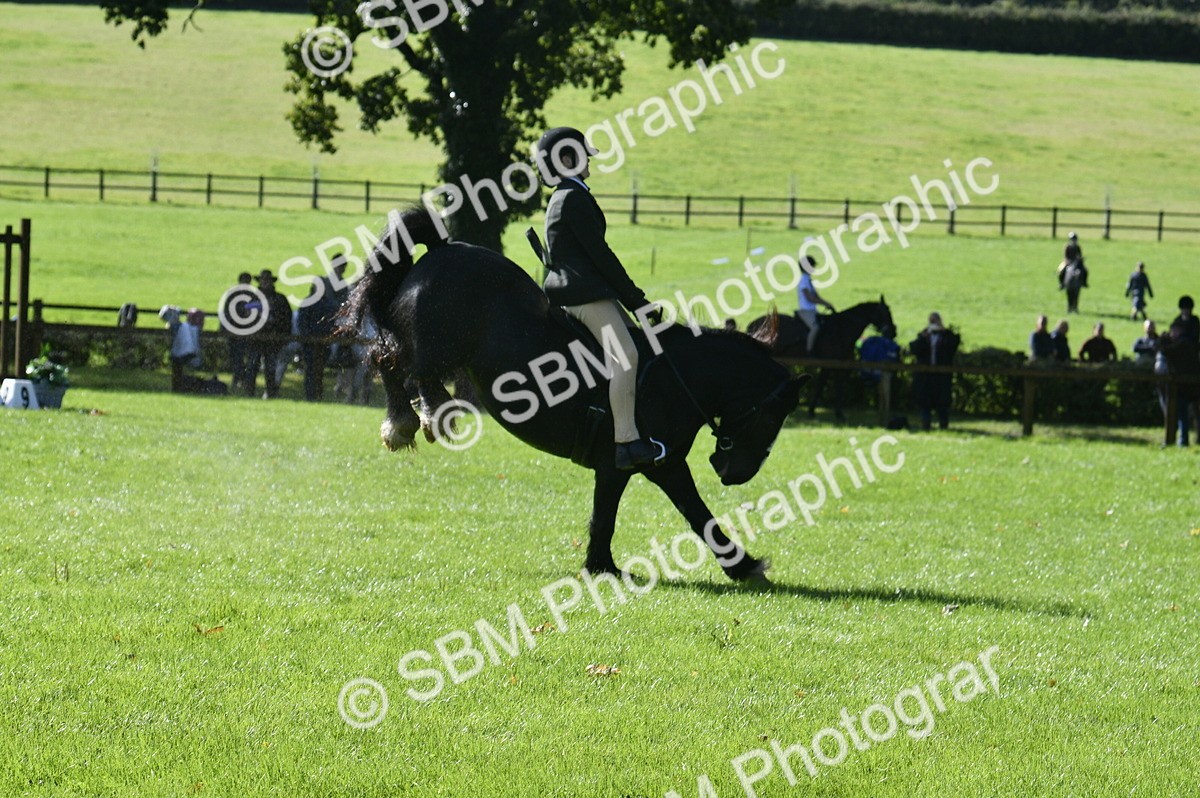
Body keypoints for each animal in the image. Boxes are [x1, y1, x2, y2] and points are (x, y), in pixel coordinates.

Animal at [340, 208, 807, 582]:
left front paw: (740, 566)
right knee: (395, 363)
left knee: (393, 362)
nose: (735, 473)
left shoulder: (662, 465)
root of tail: (444, 248)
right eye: (772, 416)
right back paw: (417, 418)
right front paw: (604, 568)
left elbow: (687, 515)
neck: (676, 381)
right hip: (439, 345)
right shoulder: (630, 464)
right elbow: (635, 517)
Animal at [748, 300, 895, 422]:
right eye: (886, 313)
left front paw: (832, 412)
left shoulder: (840, 366)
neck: (841, 330)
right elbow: (824, 386)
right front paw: (822, 412)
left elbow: (835, 386)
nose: (893, 332)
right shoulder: (830, 365)